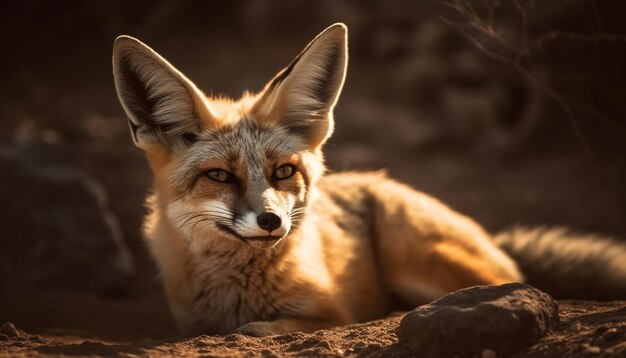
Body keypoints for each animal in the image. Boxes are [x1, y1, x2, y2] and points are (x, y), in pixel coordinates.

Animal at [111, 23, 624, 338]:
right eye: (218, 175)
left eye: (283, 171)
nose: (272, 220)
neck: (239, 293)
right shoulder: (188, 320)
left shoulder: (334, 312)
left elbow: (278, 327)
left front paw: (260, 327)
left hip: (419, 259)